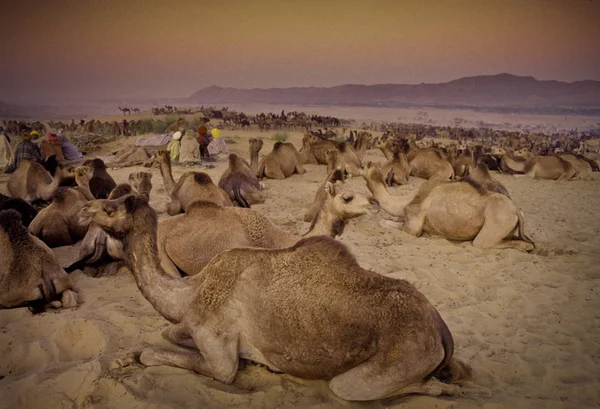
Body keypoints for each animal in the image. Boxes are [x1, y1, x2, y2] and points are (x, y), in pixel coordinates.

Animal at [79, 195, 474, 402]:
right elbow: (167, 334)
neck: (190, 293)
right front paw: (124, 357)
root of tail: (440, 329)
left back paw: (441, 386)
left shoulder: (219, 353)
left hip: (393, 361)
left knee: (354, 387)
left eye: (111, 207)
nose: (84, 210)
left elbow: (162, 354)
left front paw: (134, 357)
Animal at [360, 161, 536, 250]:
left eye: (364, 166)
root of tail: (517, 211)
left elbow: (383, 222)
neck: (405, 202)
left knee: (483, 243)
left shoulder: (412, 226)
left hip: (495, 225)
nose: (357, 168)